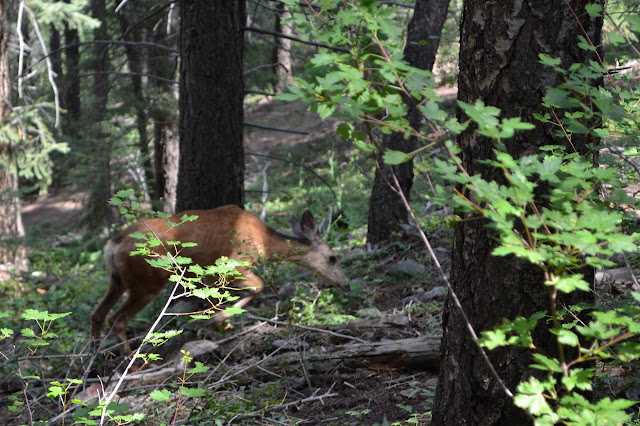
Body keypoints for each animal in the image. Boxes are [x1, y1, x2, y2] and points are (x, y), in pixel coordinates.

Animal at [89, 206, 348, 352]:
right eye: (332, 257)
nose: (345, 283)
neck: (264, 243)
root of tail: (114, 244)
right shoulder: (235, 263)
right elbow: (258, 286)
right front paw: (219, 320)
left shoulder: (210, 274)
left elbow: (215, 298)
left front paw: (220, 324)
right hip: (147, 281)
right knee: (117, 319)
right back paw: (130, 362)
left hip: (118, 280)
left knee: (97, 314)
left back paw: (93, 359)